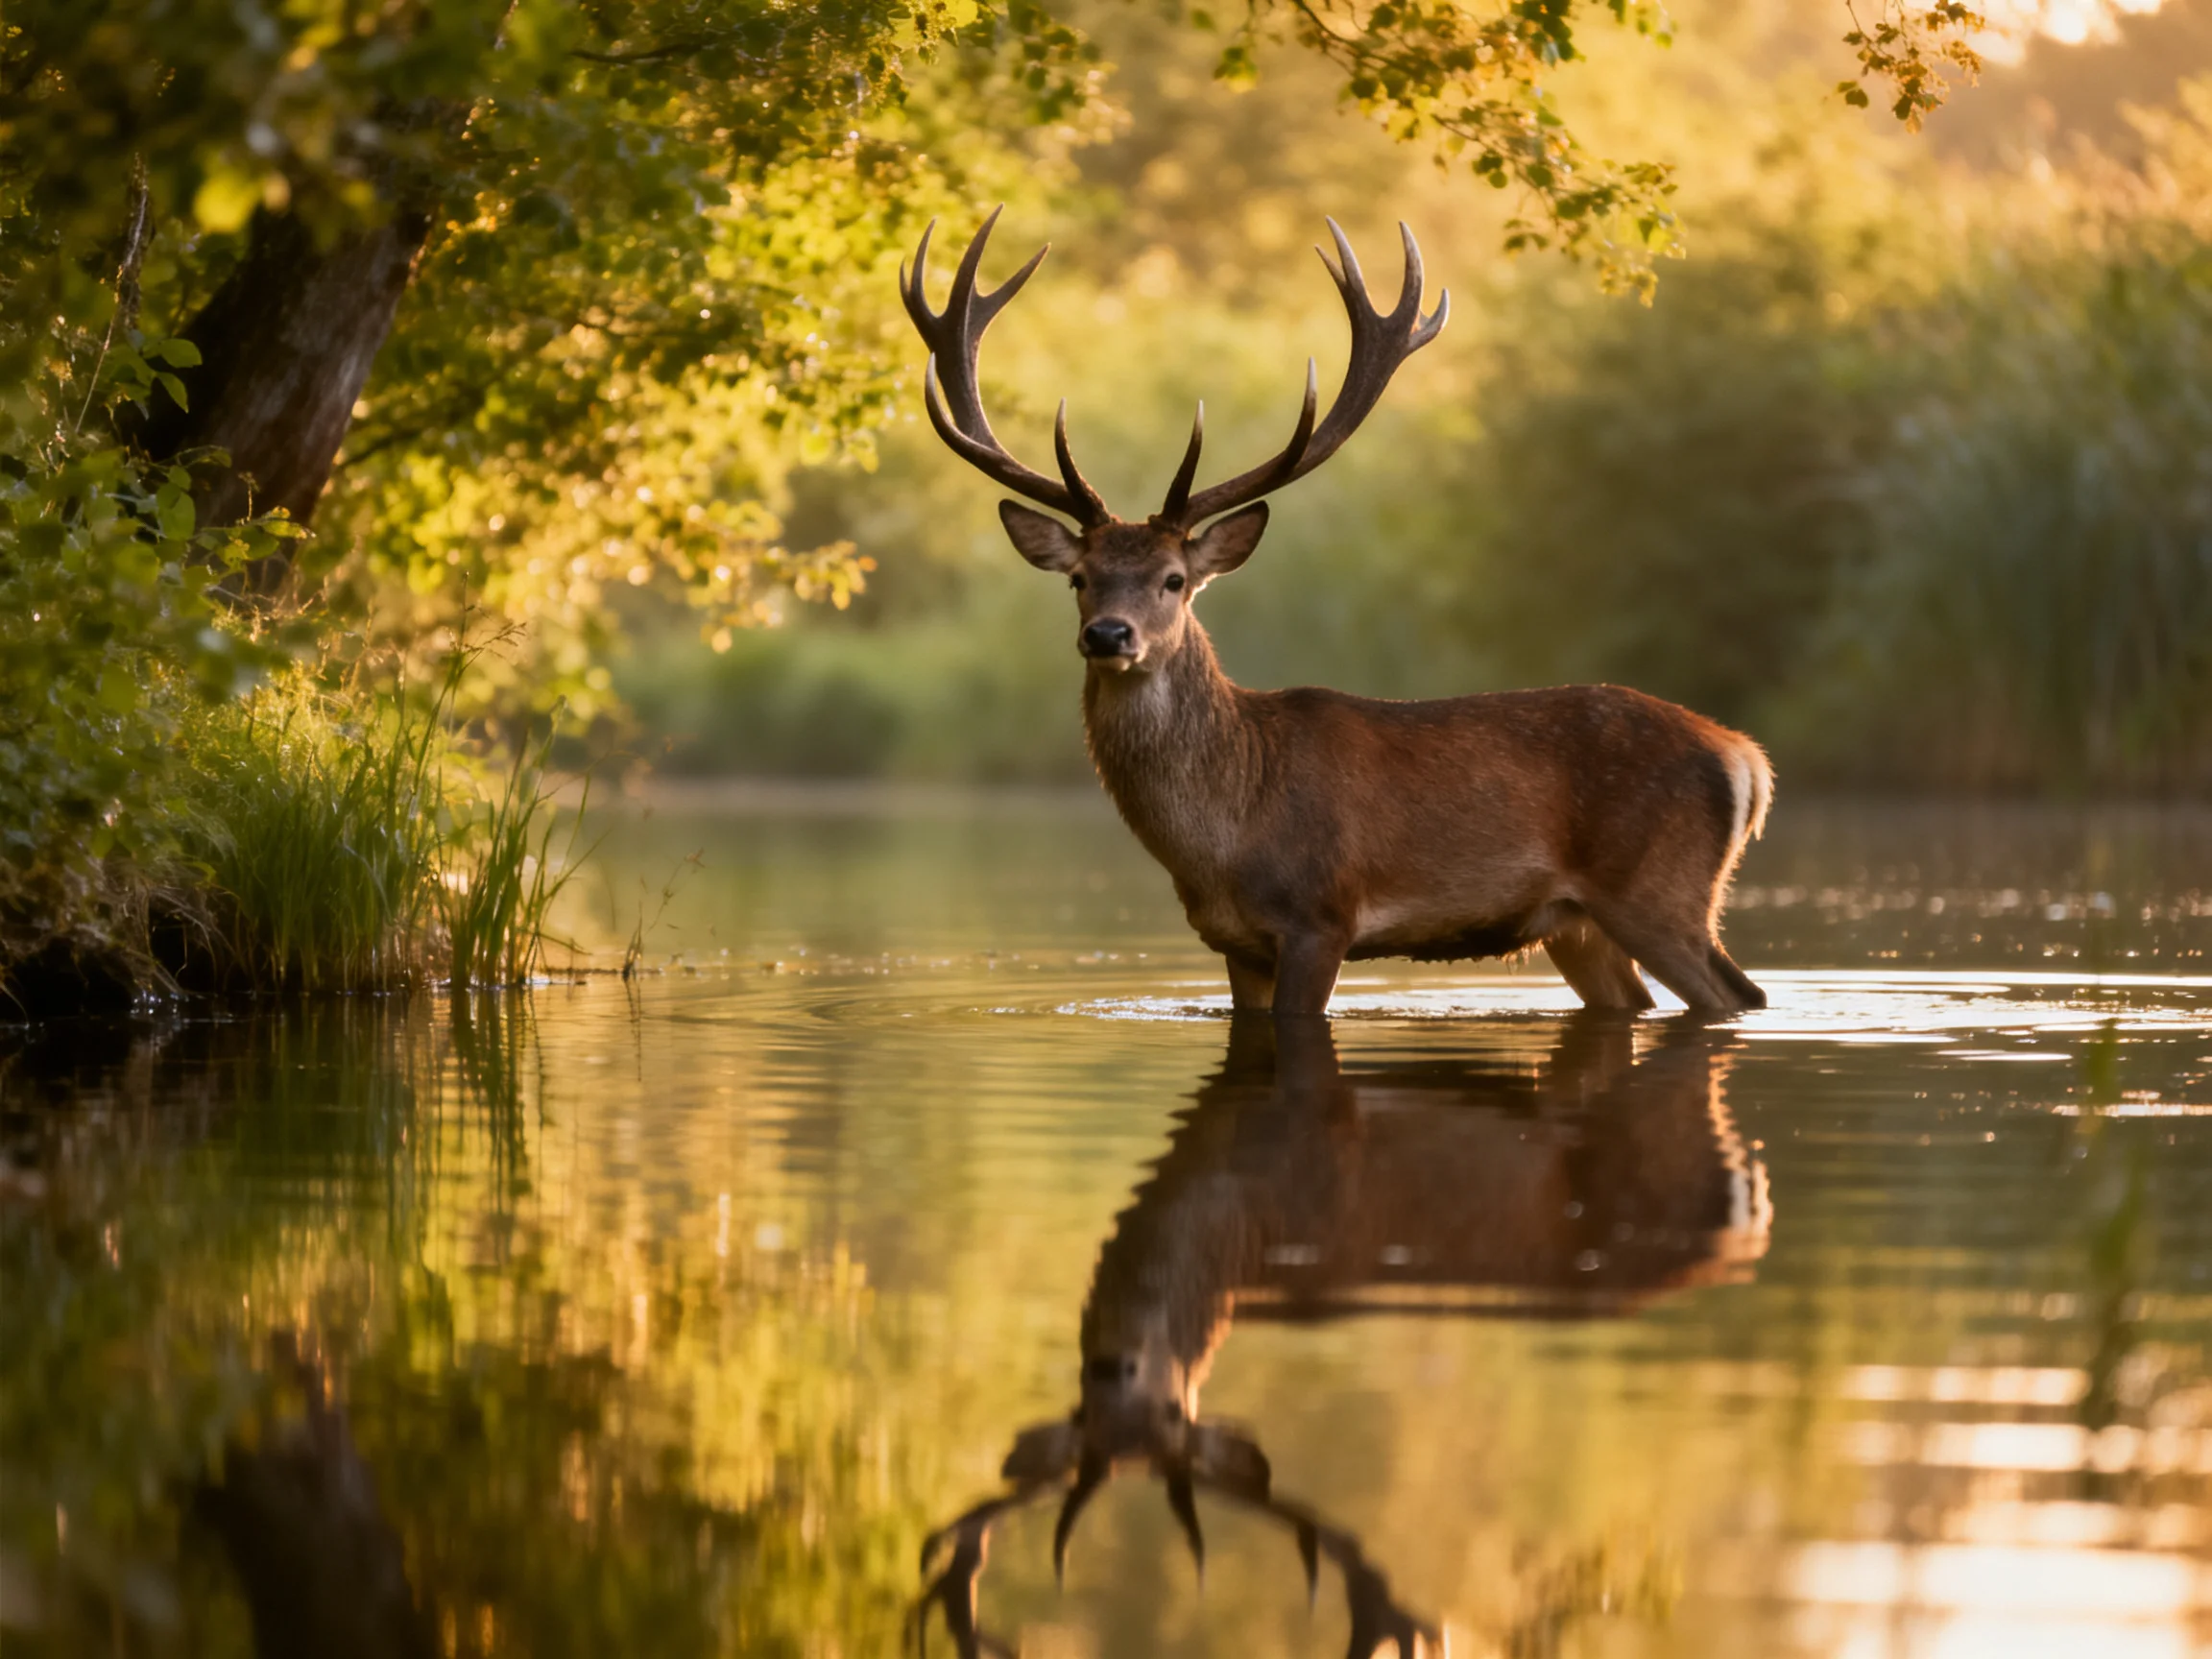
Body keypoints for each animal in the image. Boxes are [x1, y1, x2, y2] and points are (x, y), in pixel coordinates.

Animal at [902, 212, 1775, 1017]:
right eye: (1080, 579)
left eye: (1174, 579)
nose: (1109, 635)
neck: (1225, 835)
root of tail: (1745, 758)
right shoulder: (1235, 943)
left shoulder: (1320, 915)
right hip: (1578, 924)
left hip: (1656, 889)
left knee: (1740, 993)